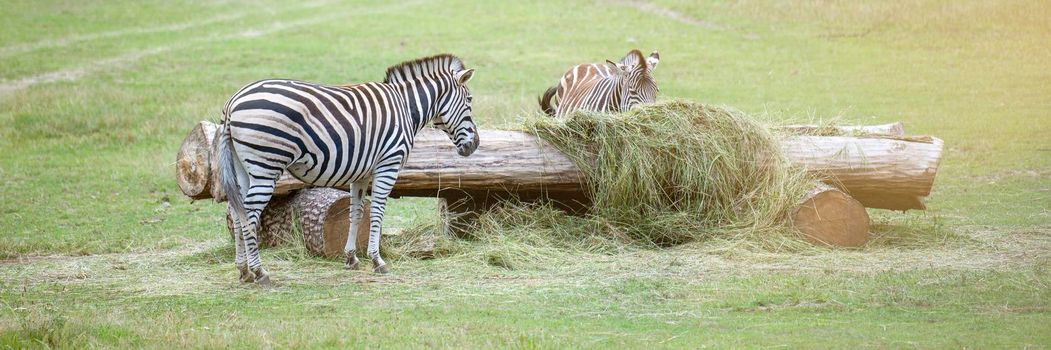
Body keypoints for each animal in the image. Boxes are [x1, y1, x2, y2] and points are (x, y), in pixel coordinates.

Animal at [217, 54, 481, 281]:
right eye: (469, 101)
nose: (475, 144)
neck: (405, 107)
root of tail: (233, 101)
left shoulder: (361, 173)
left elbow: (355, 212)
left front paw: (351, 258)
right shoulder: (388, 164)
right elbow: (377, 212)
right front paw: (377, 261)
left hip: (243, 168)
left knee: (237, 211)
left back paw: (243, 271)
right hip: (266, 166)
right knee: (249, 213)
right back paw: (259, 272)